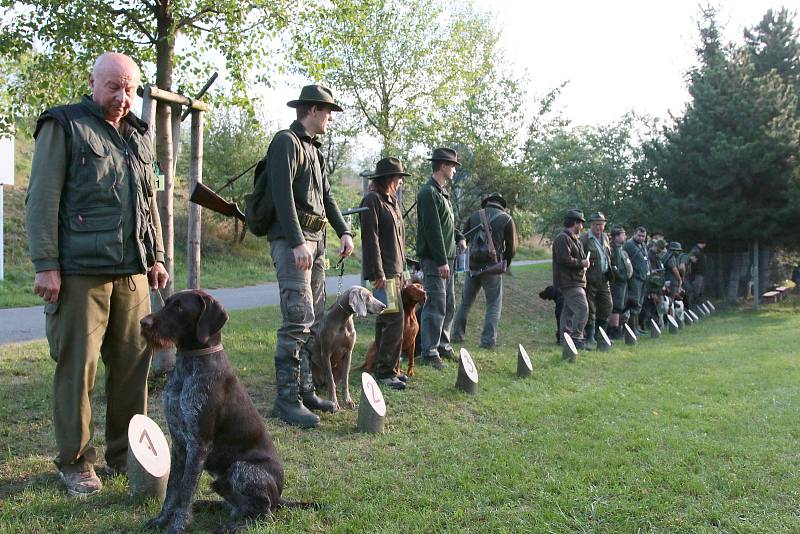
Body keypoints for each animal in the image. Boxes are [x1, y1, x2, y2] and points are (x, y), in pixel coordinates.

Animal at [141, 292, 310, 534]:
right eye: (167, 303)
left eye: (180, 307)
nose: (143, 323)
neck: (189, 365)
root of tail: (280, 497)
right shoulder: (179, 443)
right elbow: (173, 488)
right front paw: (162, 519)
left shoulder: (198, 443)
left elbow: (185, 490)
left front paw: (178, 526)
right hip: (222, 482)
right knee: (238, 507)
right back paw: (209, 505)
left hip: (242, 469)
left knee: (266, 515)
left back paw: (233, 526)